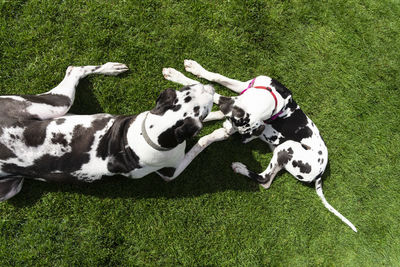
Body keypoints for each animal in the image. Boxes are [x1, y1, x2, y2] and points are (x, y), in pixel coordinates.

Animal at [0, 62, 216, 201]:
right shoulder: (170, 173)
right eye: (201, 109)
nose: (210, 87)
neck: (151, 136)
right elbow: (199, 143)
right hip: (59, 104)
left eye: (188, 88)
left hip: (10, 189)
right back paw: (109, 68)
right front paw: (215, 133)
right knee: (75, 70)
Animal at [164, 60, 358, 232]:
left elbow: (213, 93)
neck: (271, 98)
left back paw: (240, 168)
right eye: (233, 123)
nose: (228, 133)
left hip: (287, 147)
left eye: (238, 130)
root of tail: (320, 172)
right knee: (267, 182)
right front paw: (186, 71)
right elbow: (216, 77)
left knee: (263, 178)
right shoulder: (244, 86)